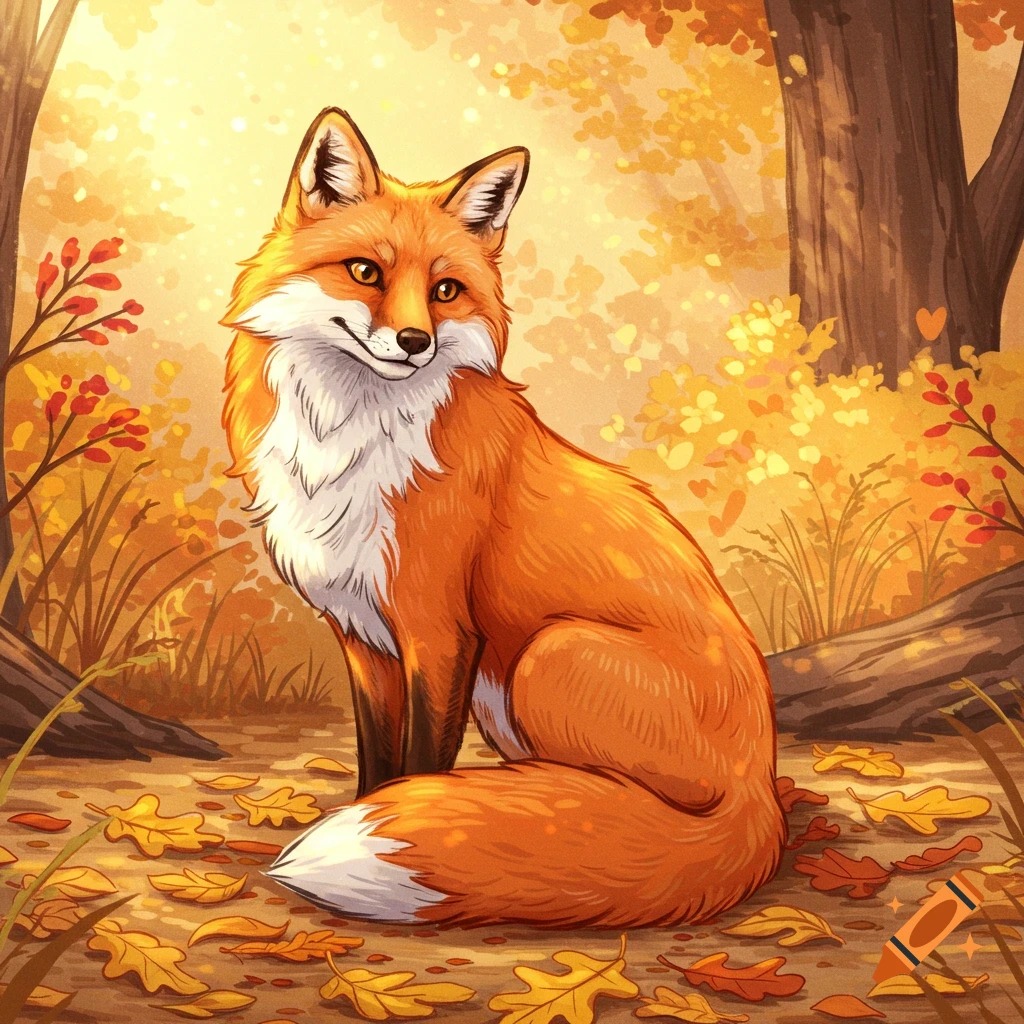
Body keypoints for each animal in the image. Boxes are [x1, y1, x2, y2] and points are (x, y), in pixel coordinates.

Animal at [221, 107, 785, 929]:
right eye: (366, 273)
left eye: (446, 290)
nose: (414, 342)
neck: (347, 444)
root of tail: (761, 795)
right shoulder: (361, 634)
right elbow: (377, 766)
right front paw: (375, 809)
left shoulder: (438, 630)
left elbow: (419, 767)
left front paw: (416, 819)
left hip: (550, 654)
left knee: (626, 812)